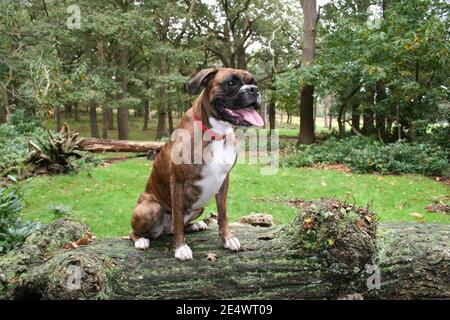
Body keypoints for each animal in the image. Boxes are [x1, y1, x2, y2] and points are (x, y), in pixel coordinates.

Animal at [130, 68, 264, 260]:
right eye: (231, 83)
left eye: (255, 82)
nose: (254, 90)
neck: (217, 133)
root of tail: (162, 230)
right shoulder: (178, 183)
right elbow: (178, 218)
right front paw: (180, 248)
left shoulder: (224, 181)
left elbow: (223, 214)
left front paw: (227, 238)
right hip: (151, 208)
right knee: (136, 231)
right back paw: (141, 240)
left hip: (199, 207)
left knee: (176, 226)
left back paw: (195, 225)